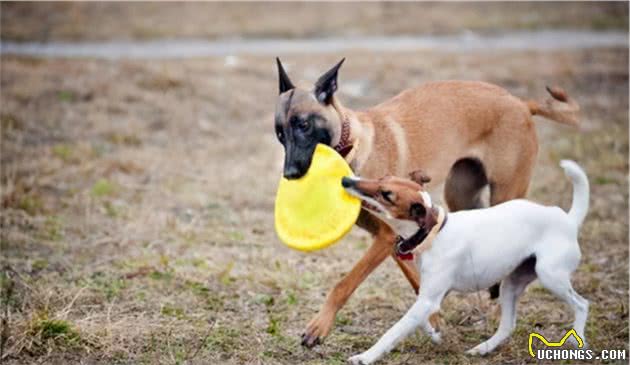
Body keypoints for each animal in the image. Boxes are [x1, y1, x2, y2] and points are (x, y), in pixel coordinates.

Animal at [274, 58, 580, 346]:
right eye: (279, 133)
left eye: (303, 125)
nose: (289, 174)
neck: (352, 147)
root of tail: (520, 103)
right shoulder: (395, 239)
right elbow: (416, 280)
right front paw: (433, 321)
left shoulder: (385, 237)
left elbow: (345, 283)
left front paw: (318, 326)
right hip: (461, 195)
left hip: (505, 194)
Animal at [344, 161, 592, 362]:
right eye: (382, 177)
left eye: (386, 194)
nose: (346, 180)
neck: (434, 232)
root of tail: (568, 220)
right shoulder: (430, 296)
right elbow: (419, 319)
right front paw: (434, 334)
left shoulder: (428, 300)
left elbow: (394, 331)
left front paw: (366, 356)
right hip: (511, 285)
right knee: (508, 326)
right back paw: (483, 349)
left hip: (551, 277)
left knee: (582, 304)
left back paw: (576, 341)